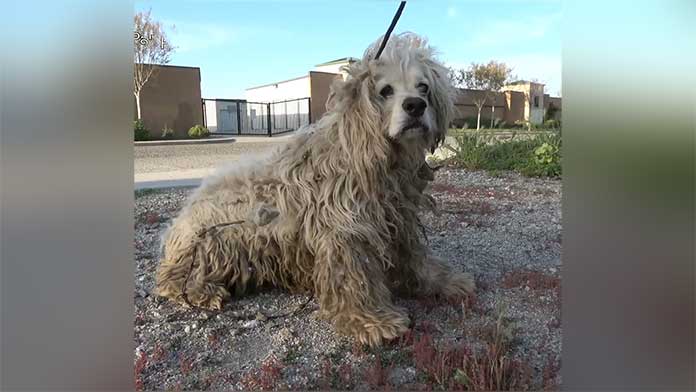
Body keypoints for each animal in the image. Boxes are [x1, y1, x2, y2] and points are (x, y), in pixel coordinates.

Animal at [155, 33, 476, 346]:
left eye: (423, 88)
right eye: (386, 91)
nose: (415, 105)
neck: (370, 154)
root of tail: (179, 221)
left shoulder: (398, 221)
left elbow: (415, 259)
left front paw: (442, 281)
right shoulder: (345, 232)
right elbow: (354, 279)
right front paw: (372, 320)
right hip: (218, 242)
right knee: (172, 278)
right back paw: (202, 290)